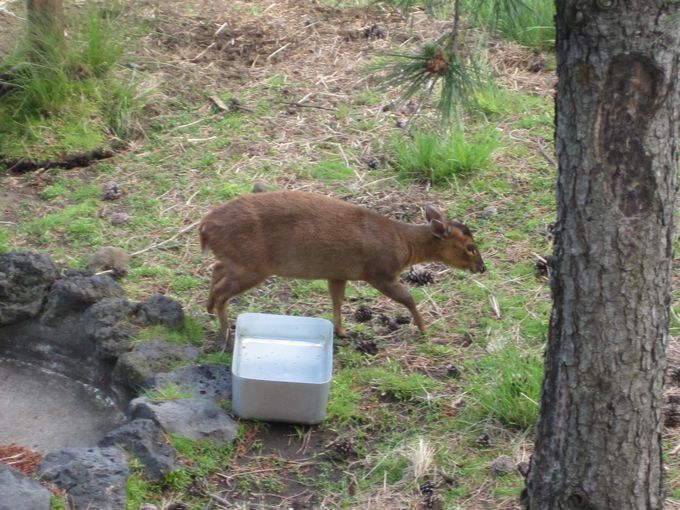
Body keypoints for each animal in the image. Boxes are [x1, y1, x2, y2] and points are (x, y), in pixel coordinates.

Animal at [199, 189, 486, 348]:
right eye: (471, 246)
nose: (482, 268)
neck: (403, 245)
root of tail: (204, 227)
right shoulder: (380, 271)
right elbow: (408, 298)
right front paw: (425, 329)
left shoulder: (338, 273)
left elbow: (337, 300)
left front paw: (341, 331)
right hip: (253, 266)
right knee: (223, 292)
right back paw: (226, 333)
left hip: (239, 261)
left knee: (216, 269)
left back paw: (209, 310)